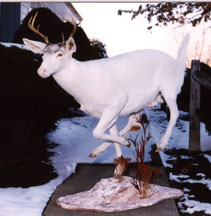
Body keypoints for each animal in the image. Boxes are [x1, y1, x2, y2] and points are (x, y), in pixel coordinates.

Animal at [22, 12, 190, 160]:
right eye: (43, 54)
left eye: (60, 54)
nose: (41, 71)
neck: (84, 84)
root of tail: (178, 65)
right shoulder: (107, 110)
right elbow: (110, 133)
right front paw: (119, 159)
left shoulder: (117, 100)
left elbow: (96, 132)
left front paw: (125, 144)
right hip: (143, 101)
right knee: (134, 123)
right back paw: (100, 149)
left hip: (169, 88)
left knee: (174, 113)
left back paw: (161, 144)